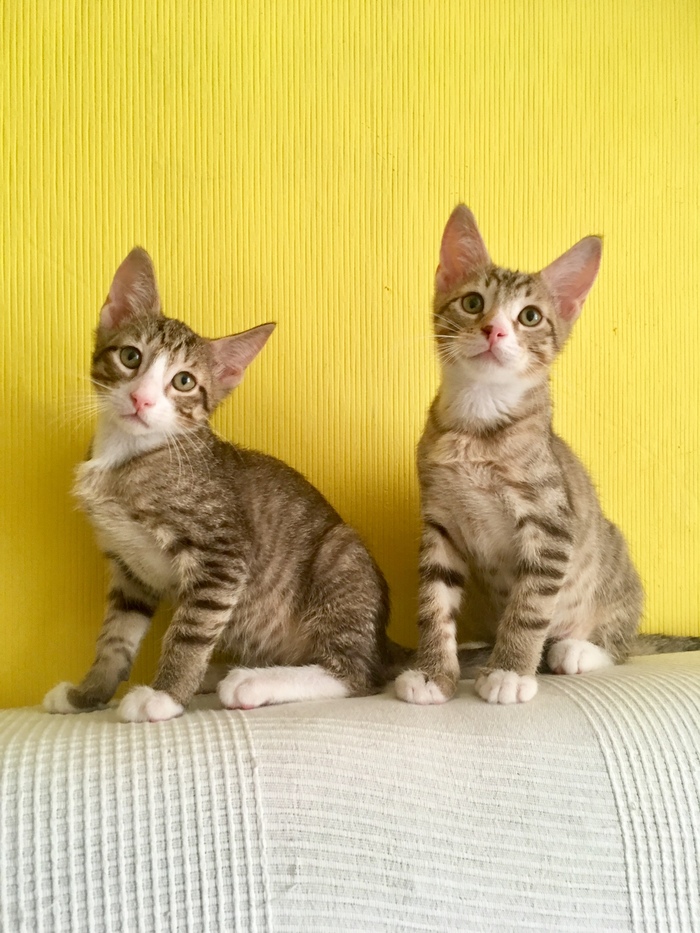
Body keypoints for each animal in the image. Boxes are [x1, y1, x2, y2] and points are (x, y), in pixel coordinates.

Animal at [44, 247, 391, 722]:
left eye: (184, 381)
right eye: (130, 357)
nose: (141, 399)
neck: (127, 457)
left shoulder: (223, 556)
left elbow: (190, 632)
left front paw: (165, 695)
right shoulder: (130, 572)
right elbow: (114, 639)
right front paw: (87, 695)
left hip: (340, 557)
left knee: (356, 676)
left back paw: (252, 682)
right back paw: (219, 672)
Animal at [396, 204, 700, 706]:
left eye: (531, 316)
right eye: (473, 303)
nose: (494, 330)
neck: (477, 429)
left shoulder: (552, 524)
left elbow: (530, 605)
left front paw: (508, 671)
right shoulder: (439, 522)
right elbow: (433, 603)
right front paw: (432, 673)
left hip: (613, 560)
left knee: (618, 644)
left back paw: (576, 649)